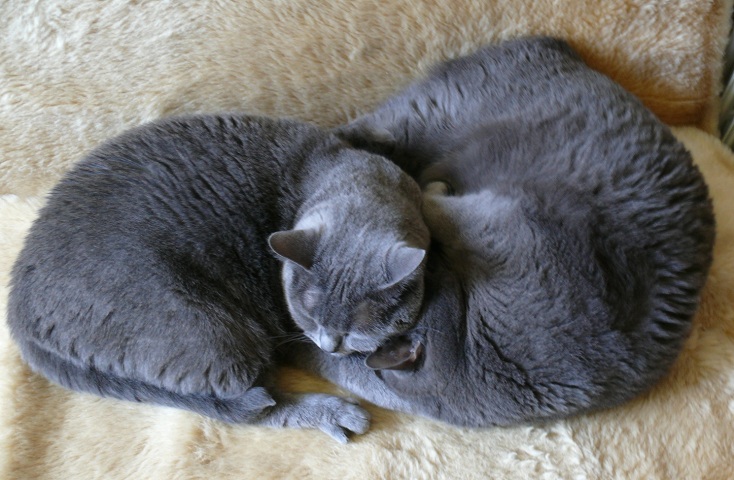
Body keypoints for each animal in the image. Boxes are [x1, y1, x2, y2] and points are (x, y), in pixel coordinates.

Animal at [7, 113, 430, 443]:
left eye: (356, 333)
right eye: (307, 316)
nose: (328, 342)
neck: (326, 171)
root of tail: (17, 313)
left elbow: (372, 136)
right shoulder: (292, 336)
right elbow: (361, 376)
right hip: (214, 335)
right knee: (251, 404)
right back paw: (333, 413)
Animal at [286, 36, 716, 427]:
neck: (471, 346)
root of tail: (555, 46)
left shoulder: (497, 220)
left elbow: (428, 202)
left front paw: (428, 189)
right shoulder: (494, 219)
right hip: (432, 112)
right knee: (361, 129)